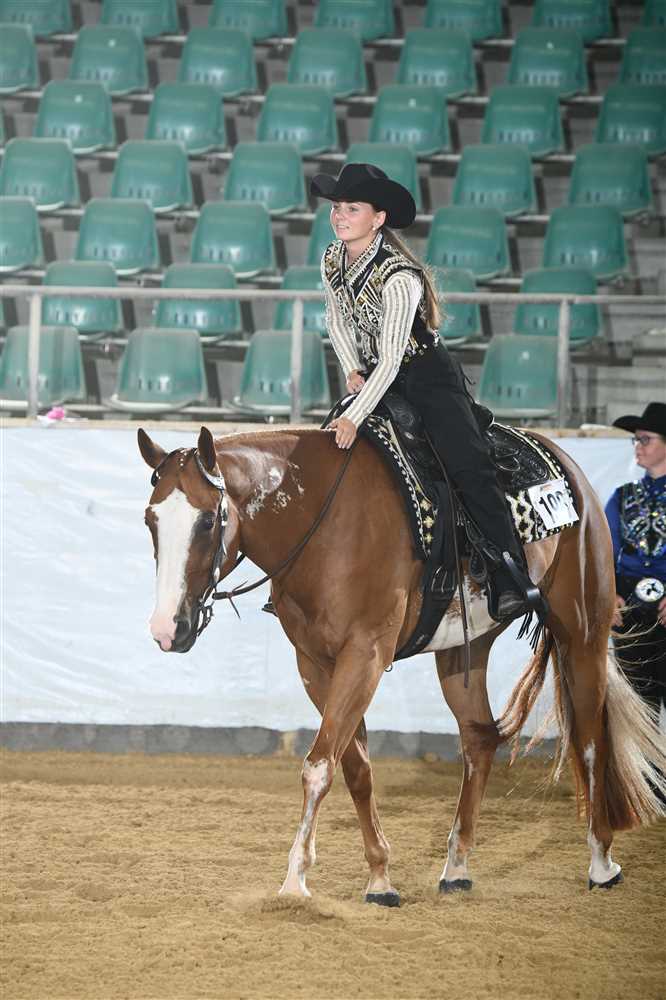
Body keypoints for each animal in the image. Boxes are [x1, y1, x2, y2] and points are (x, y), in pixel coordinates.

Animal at [138, 424, 666, 904]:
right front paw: (379, 878)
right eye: (150, 520)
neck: (323, 522)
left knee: (591, 739)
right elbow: (353, 767)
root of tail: (565, 463)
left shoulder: (365, 654)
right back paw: (456, 868)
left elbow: (318, 766)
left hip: (583, 631)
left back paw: (601, 862)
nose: (167, 628)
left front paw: (295, 879)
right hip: (463, 652)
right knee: (479, 740)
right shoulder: (315, 664)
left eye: (209, 520)